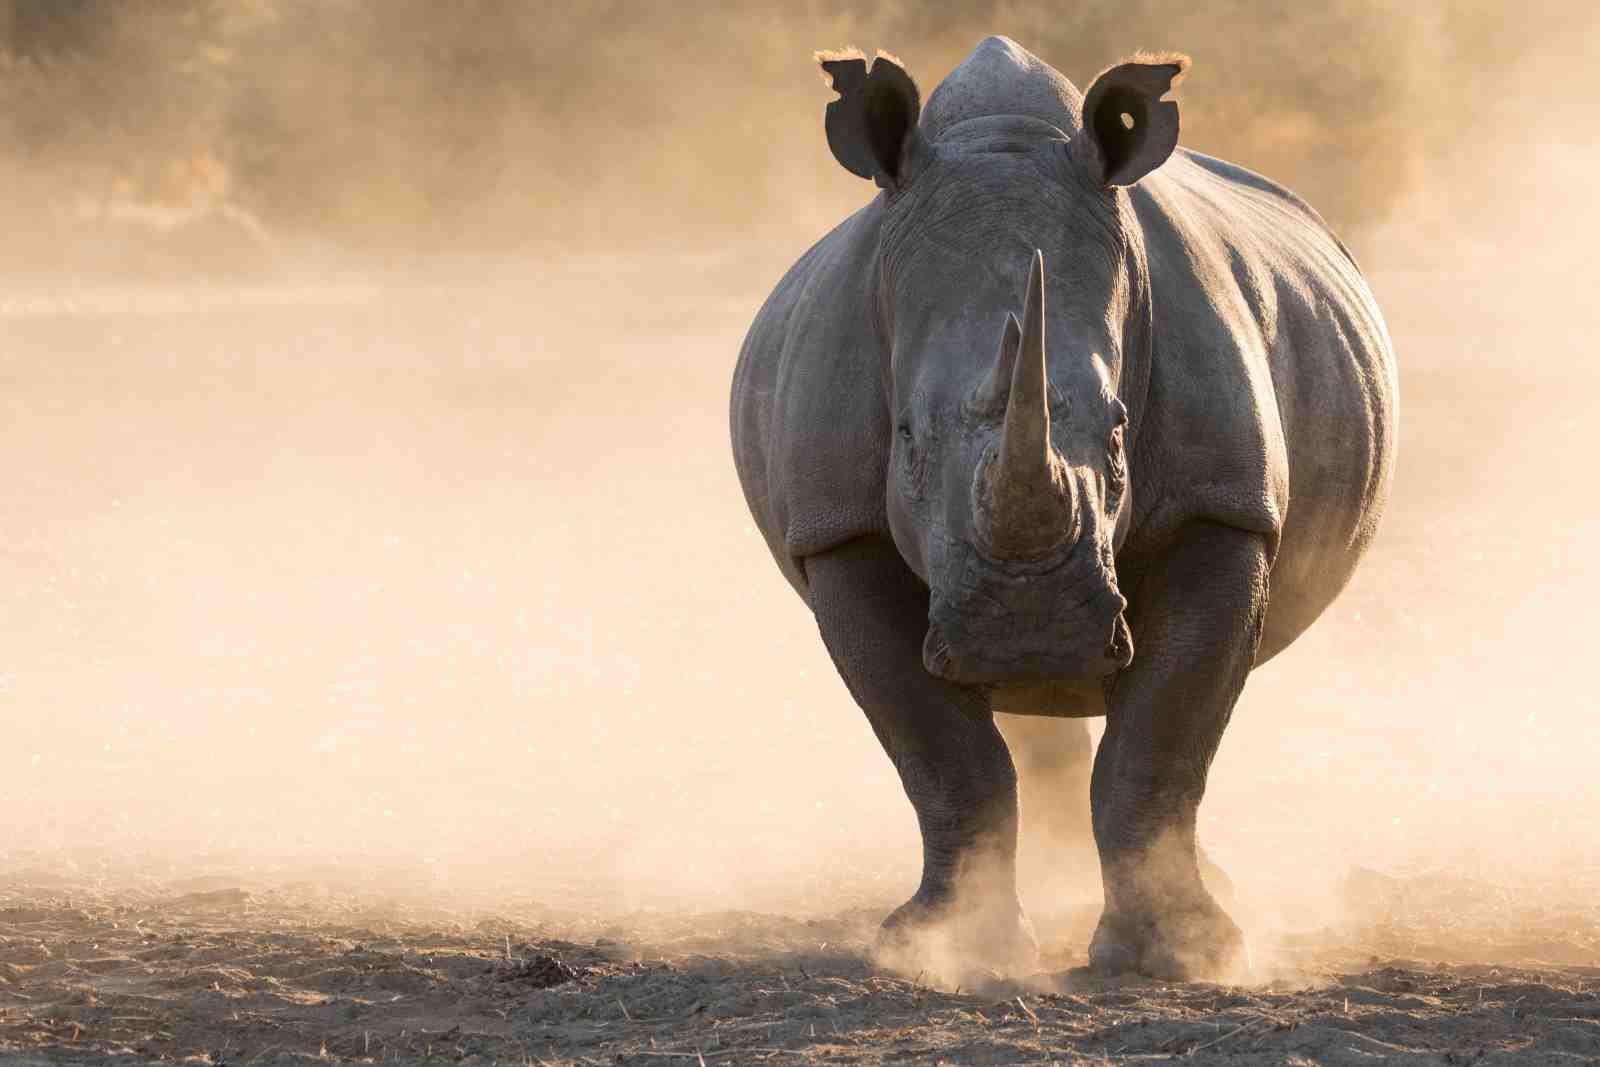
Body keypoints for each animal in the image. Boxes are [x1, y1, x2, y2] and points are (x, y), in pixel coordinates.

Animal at [729, 36, 1396, 980]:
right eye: (905, 438)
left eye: (1119, 430)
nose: (1027, 626)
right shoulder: (835, 528)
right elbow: (942, 754)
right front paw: (945, 948)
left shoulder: (1223, 507)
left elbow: (1164, 736)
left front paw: (1178, 956)